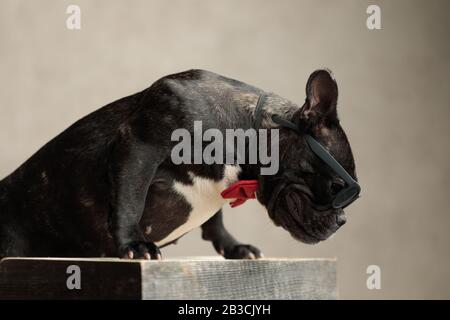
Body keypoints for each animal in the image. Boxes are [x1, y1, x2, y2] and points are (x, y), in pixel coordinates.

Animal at [0, 69, 358, 258]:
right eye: (337, 186)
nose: (341, 220)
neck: (245, 130)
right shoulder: (140, 146)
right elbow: (130, 201)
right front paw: (134, 244)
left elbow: (215, 220)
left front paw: (234, 247)